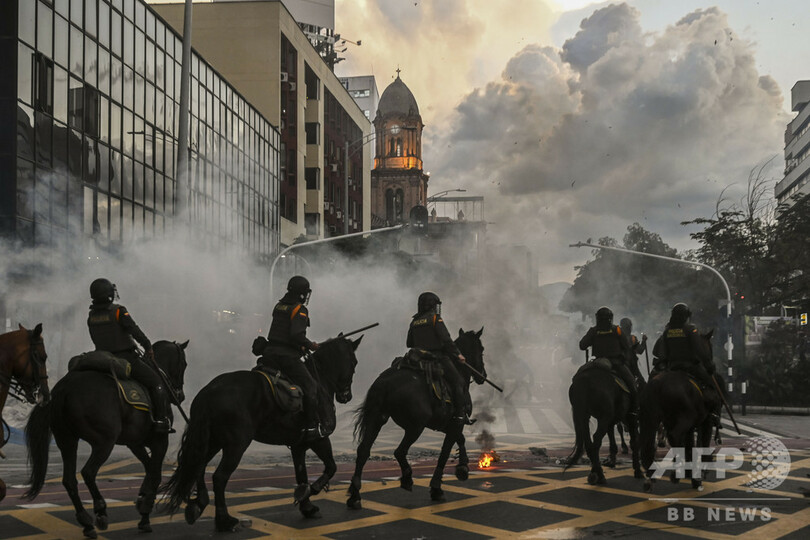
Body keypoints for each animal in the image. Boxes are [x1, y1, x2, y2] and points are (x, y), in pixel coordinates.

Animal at [24, 340, 188, 538]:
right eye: (184, 364)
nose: (180, 396)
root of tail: (64, 389)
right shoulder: (159, 441)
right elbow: (155, 473)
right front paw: (145, 514)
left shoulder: (135, 443)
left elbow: (149, 468)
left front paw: (142, 497)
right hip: (104, 442)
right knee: (88, 472)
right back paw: (100, 510)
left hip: (67, 441)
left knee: (69, 480)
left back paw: (86, 522)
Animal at [160, 336, 363, 532]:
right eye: (354, 362)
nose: (347, 396)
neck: (319, 380)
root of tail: (209, 392)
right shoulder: (320, 439)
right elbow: (331, 467)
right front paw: (311, 490)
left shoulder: (298, 445)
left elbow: (302, 475)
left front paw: (307, 506)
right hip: (236, 445)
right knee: (219, 477)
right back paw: (224, 520)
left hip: (212, 441)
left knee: (199, 467)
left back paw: (199, 505)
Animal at [347, 328, 486, 509]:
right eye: (481, 349)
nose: (483, 375)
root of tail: (386, 382)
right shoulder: (456, 422)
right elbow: (445, 453)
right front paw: (437, 487)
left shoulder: (446, 424)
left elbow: (460, 439)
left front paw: (462, 467)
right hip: (415, 427)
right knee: (399, 451)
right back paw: (406, 478)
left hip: (376, 419)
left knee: (363, 451)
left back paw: (355, 494)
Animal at [639, 330, 718, 492]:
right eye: (710, 348)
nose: (711, 367)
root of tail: (658, 384)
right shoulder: (705, 421)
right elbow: (702, 443)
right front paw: (697, 475)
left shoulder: (689, 426)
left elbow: (689, 446)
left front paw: (691, 474)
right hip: (683, 419)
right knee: (674, 436)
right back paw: (675, 473)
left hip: (650, 419)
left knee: (648, 444)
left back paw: (650, 476)